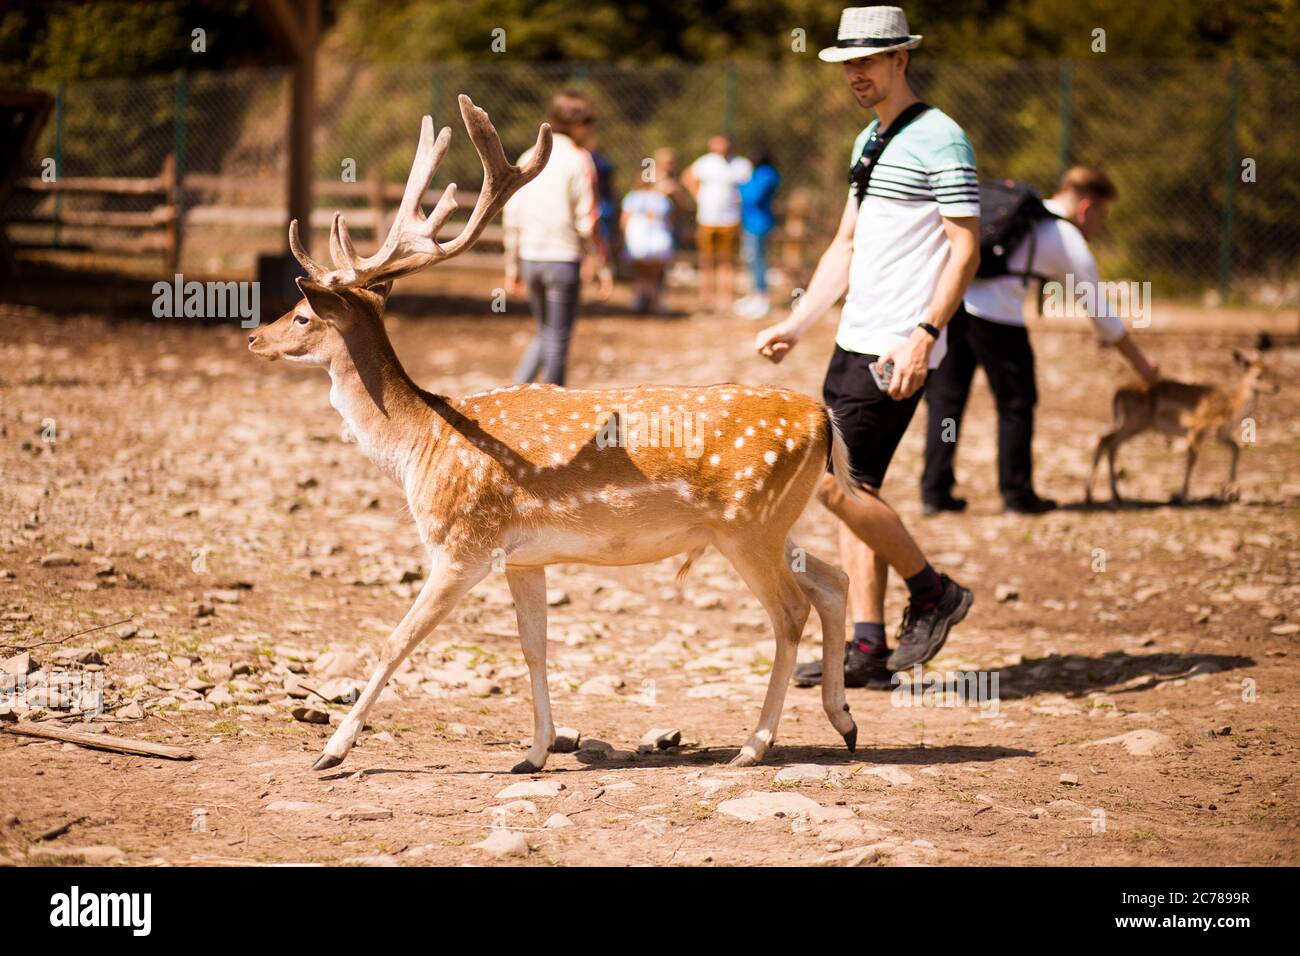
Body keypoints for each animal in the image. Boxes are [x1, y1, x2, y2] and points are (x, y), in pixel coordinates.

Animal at [246, 97, 857, 775]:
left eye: (303, 316)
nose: (254, 336)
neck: (420, 445)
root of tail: (824, 420)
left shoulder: (462, 545)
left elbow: (396, 640)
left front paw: (332, 751)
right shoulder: (524, 557)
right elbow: (534, 647)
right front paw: (534, 752)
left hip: (748, 526)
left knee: (791, 611)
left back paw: (754, 745)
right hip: (772, 523)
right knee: (834, 581)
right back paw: (844, 721)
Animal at [1086, 348, 1279, 504]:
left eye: (1271, 370)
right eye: (1259, 375)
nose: (1276, 387)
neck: (1231, 408)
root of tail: (1117, 393)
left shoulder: (1219, 435)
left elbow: (1235, 448)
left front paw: (1230, 492)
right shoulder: (1197, 428)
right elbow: (1192, 458)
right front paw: (1184, 497)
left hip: (1134, 424)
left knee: (1109, 442)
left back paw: (1109, 495)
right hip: (1135, 422)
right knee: (1106, 440)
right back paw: (1096, 495)